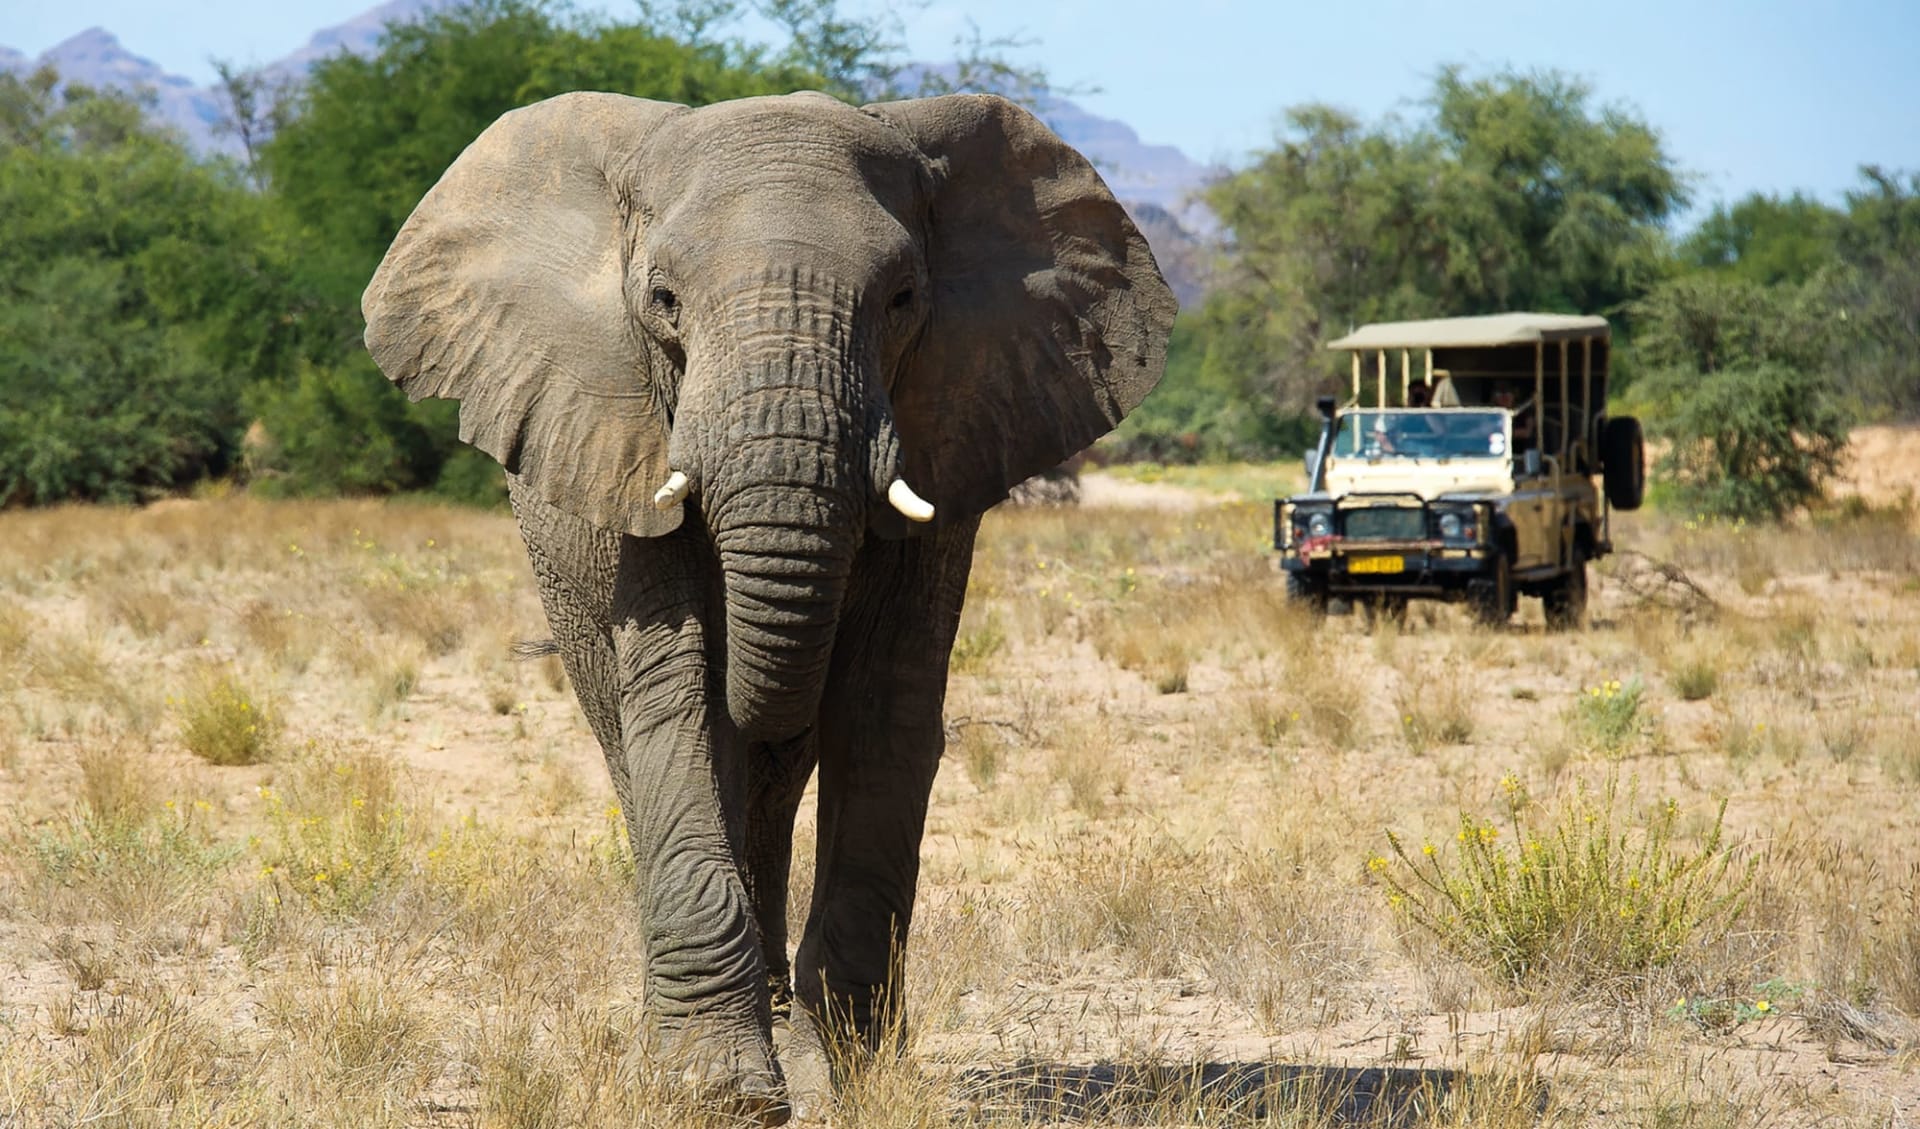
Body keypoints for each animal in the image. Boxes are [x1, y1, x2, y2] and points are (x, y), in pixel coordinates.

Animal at [361, 89, 1175, 1120]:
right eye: (663, 302)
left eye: (903, 299)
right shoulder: (630, 443)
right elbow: (681, 702)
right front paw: (723, 1093)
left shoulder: (952, 423)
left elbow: (884, 706)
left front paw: (847, 1076)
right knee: (641, 747)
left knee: (779, 773)